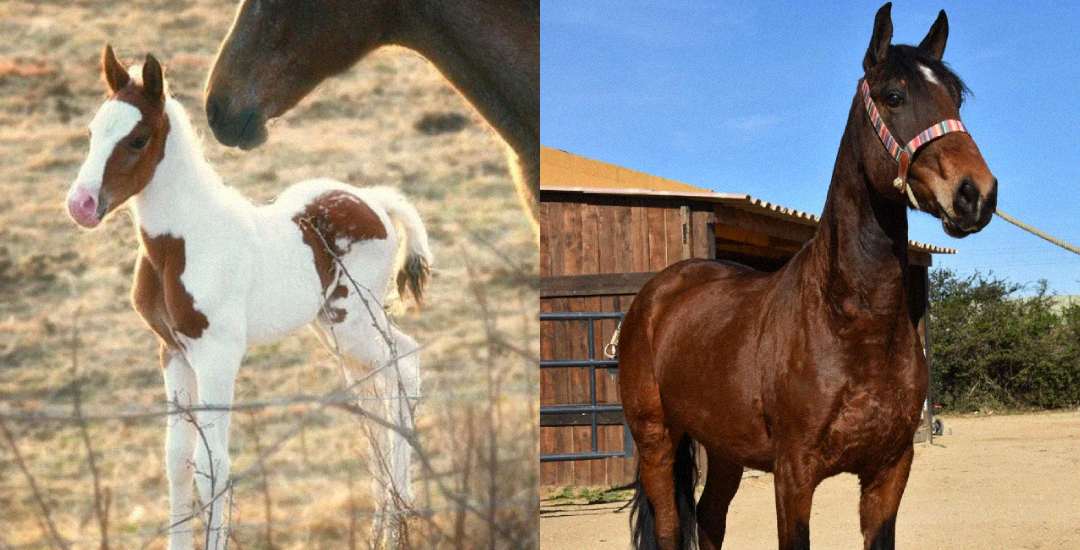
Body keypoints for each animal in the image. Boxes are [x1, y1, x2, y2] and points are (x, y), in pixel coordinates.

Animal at [65, 45, 433, 550]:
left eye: (137, 139)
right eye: (92, 131)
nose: (80, 205)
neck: (183, 241)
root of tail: (374, 200)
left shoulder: (217, 355)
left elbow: (212, 466)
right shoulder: (172, 351)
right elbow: (176, 461)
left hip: (354, 322)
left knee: (406, 363)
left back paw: (398, 519)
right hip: (334, 329)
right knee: (373, 397)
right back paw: (384, 521)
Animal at [617, 5, 997, 549]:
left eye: (956, 99)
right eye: (894, 96)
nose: (976, 194)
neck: (851, 323)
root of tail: (657, 294)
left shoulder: (890, 470)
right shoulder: (793, 475)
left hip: (724, 447)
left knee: (710, 520)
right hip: (657, 440)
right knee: (671, 528)